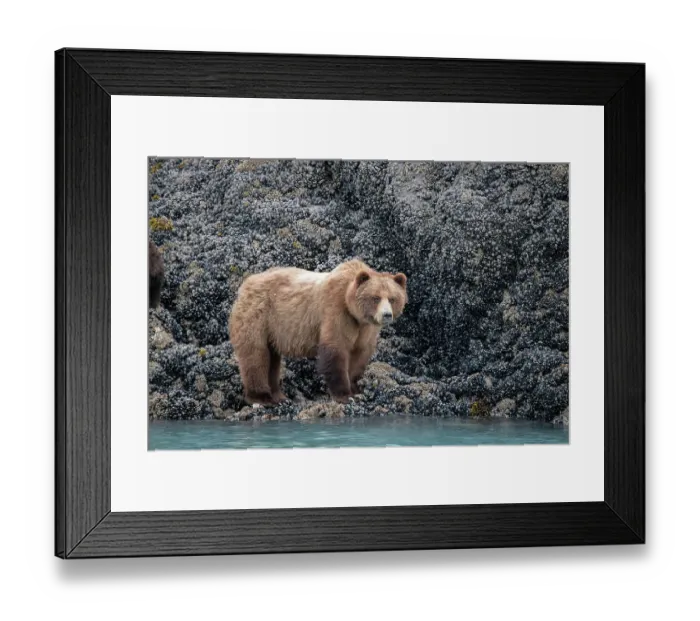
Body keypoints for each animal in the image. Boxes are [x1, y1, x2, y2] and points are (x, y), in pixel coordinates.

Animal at [228, 259, 407, 406]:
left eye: (392, 298)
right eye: (376, 298)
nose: (386, 315)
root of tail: (245, 284)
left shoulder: (365, 329)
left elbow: (359, 355)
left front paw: (356, 390)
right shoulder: (336, 311)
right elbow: (335, 348)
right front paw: (344, 395)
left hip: (272, 330)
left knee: (272, 358)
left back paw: (279, 396)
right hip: (258, 315)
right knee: (256, 355)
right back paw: (261, 397)